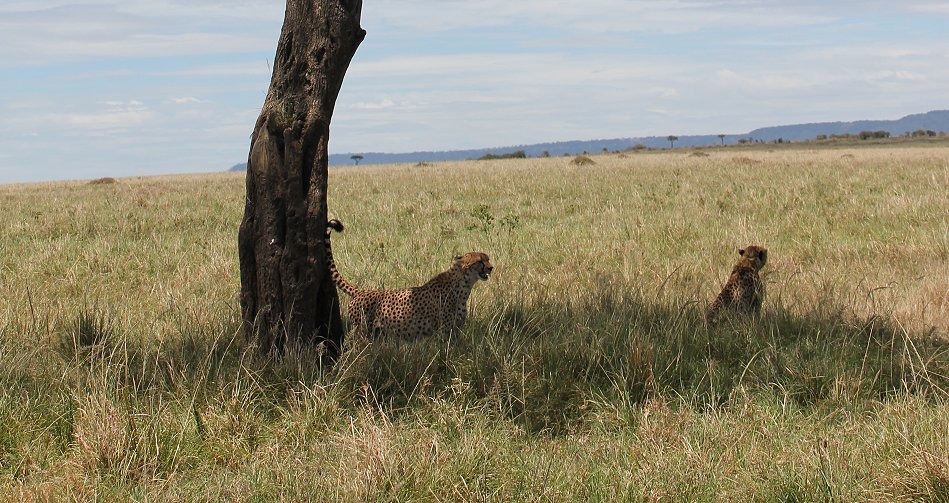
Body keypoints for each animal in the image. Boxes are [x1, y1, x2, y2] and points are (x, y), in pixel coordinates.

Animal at [324, 220, 492, 338]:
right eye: (480, 261)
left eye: (488, 259)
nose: (491, 268)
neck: (464, 285)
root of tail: (362, 292)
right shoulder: (443, 331)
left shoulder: (455, 329)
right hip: (361, 331)